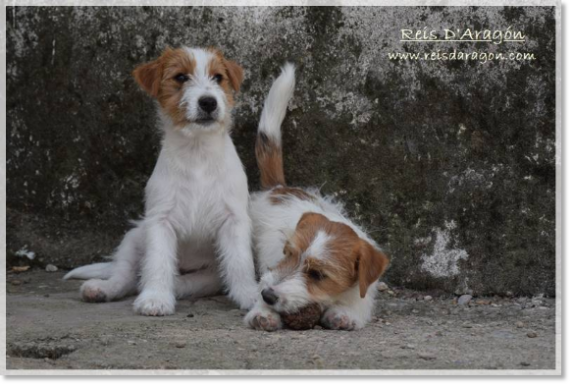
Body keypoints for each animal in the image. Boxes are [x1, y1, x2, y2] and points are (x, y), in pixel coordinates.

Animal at [64, 46, 256, 316]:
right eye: (181, 77)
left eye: (218, 77)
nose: (208, 101)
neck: (197, 152)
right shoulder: (160, 221)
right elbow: (158, 261)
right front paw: (155, 298)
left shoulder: (233, 220)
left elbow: (240, 263)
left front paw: (251, 295)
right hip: (134, 238)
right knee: (125, 275)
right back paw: (103, 288)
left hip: (208, 277)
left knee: (184, 282)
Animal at [244, 65, 392, 330]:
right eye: (287, 254)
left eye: (317, 275)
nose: (268, 296)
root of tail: (278, 187)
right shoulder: (271, 270)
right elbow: (266, 278)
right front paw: (262, 312)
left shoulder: (364, 288)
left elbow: (358, 301)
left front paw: (346, 314)